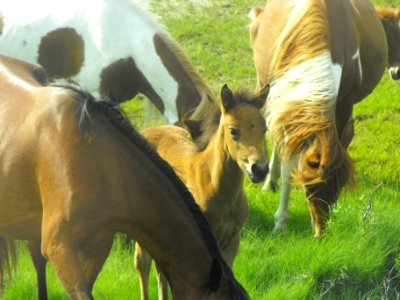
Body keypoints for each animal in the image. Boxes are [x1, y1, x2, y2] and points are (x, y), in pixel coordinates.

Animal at [134, 83, 268, 298]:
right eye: (233, 131)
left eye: (264, 128)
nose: (260, 169)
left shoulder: (232, 240)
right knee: (142, 262)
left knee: (160, 268)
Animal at [250, 0, 388, 237]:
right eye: (311, 185)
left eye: (338, 188)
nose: (321, 232)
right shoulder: (286, 103)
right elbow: (288, 162)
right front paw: (280, 222)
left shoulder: (343, 105)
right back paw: (270, 181)